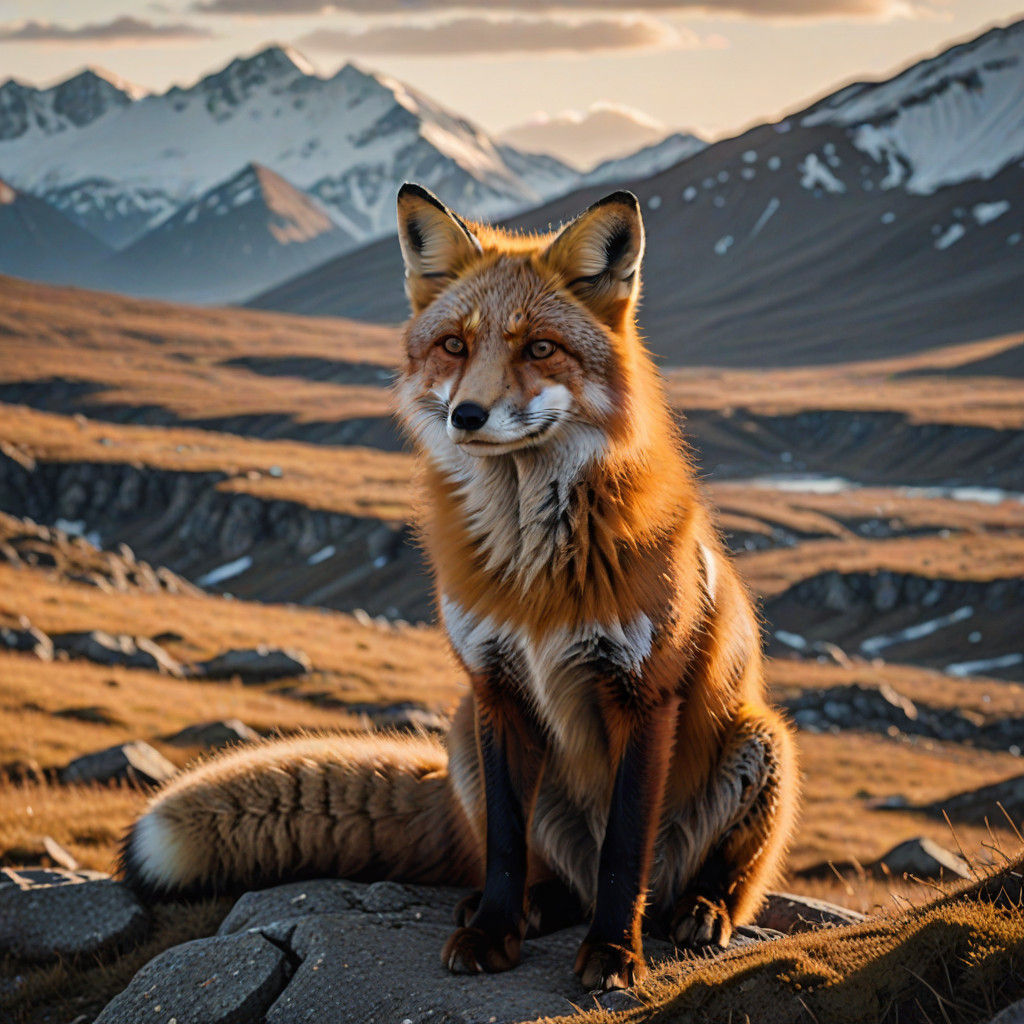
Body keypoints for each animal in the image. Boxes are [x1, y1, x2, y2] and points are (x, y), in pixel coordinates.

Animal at [120, 183, 799, 992]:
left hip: (763, 740)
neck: (533, 573)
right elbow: (505, 844)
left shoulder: (644, 694)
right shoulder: (496, 685)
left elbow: (622, 854)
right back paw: (525, 905)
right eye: (455, 345)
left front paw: (613, 952)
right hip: (463, 734)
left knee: (694, 879)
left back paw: (702, 908)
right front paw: (494, 934)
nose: (466, 415)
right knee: (545, 873)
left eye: (539, 347)